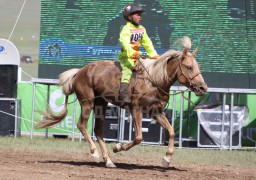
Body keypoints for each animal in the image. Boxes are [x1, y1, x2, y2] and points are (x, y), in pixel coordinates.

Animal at [36, 36, 208, 167]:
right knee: (82, 125)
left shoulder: (155, 111)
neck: (153, 79)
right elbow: (139, 137)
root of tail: (80, 71)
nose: (203, 87)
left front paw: (166, 158)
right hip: (87, 102)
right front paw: (118, 147)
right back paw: (95, 154)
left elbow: (171, 131)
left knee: (98, 131)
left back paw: (108, 160)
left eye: (198, 66)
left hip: (101, 104)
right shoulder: (135, 108)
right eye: (189, 67)